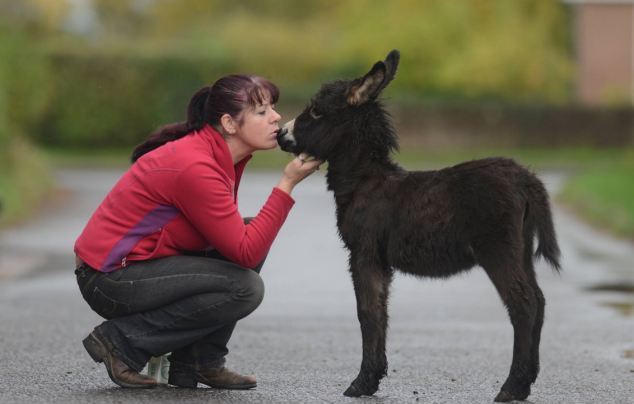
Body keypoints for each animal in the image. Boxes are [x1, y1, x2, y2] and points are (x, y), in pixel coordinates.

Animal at [276, 49, 556, 400]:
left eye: (316, 111)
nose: (280, 134)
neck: (366, 181)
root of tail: (525, 178)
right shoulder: (380, 260)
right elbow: (381, 311)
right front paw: (373, 378)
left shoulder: (364, 253)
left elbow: (366, 312)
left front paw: (360, 382)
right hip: (521, 248)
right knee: (540, 301)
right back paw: (525, 382)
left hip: (499, 249)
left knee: (523, 303)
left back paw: (511, 387)